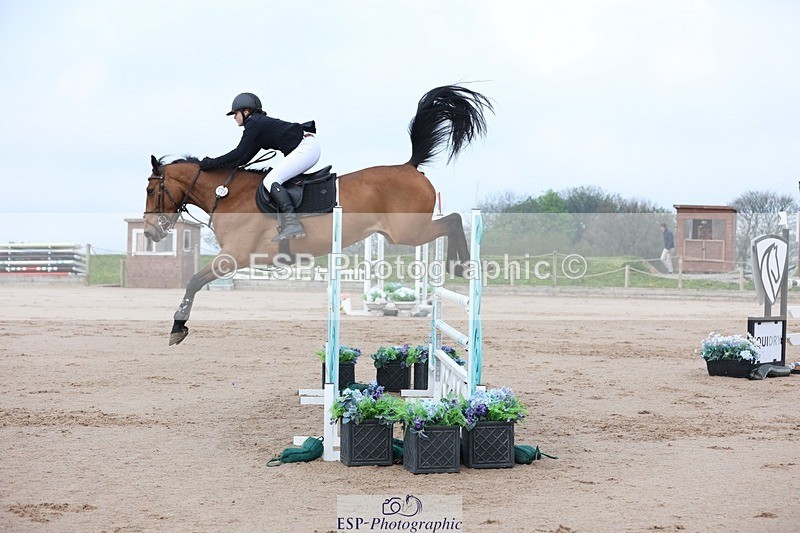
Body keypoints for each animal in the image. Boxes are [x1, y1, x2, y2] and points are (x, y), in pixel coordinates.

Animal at [143, 85, 493, 345]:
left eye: (150, 190)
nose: (149, 233)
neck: (228, 195)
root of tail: (410, 166)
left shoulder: (232, 257)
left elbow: (193, 281)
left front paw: (177, 329)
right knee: (450, 222)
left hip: (408, 232)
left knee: (453, 220)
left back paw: (461, 265)